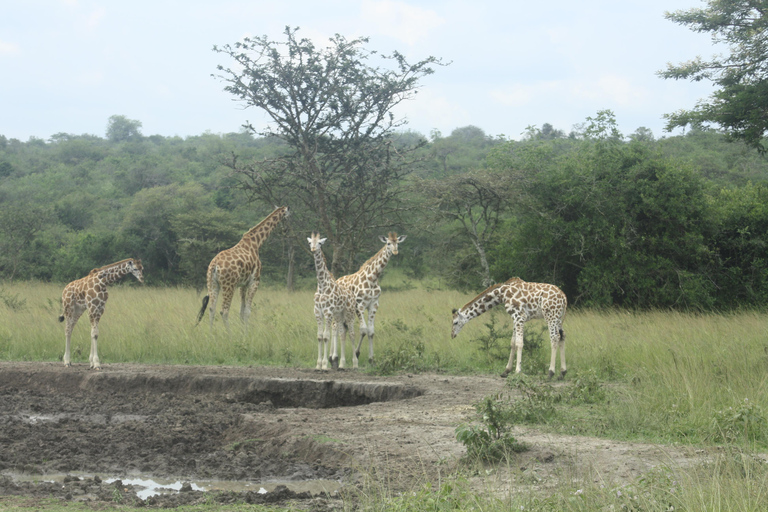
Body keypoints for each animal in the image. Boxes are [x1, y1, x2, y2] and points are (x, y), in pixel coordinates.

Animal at [308, 234, 358, 370]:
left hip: (349, 314)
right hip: (339, 315)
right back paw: (341, 364)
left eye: (320, 243)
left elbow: (326, 337)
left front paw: (324, 365)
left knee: (352, 334)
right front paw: (318, 365)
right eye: (310, 242)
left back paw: (355, 364)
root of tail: (352, 296)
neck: (321, 285)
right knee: (342, 334)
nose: (313, 249)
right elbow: (319, 336)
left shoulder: (328, 312)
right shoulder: (317, 312)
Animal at [338, 232, 404, 368]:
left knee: (344, 329)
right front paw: (357, 354)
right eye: (388, 243)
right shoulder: (359, 305)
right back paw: (334, 358)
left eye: (398, 243)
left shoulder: (374, 304)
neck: (373, 279)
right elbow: (363, 330)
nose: (395, 251)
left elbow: (371, 331)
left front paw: (371, 359)